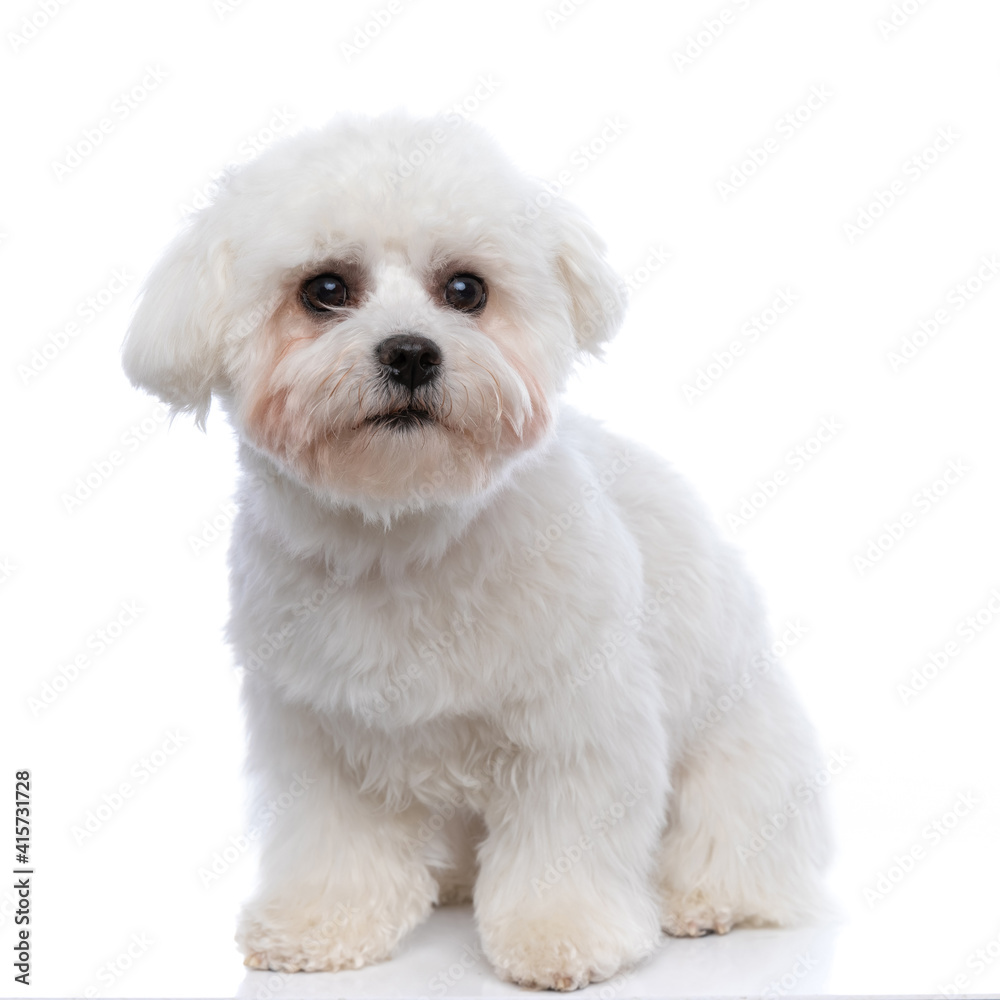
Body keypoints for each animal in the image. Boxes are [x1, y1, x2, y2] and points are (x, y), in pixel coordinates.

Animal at [121, 113, 832, 988]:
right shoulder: (317, 734)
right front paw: (320, 924)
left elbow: (565, 845)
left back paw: (703, 902)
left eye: (465, 290)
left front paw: (562, 936)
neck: (405, 532)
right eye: (325, 289)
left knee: (737, 847)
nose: (410, 352)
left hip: (743, 767)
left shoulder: (577, 725)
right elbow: (332, 841)